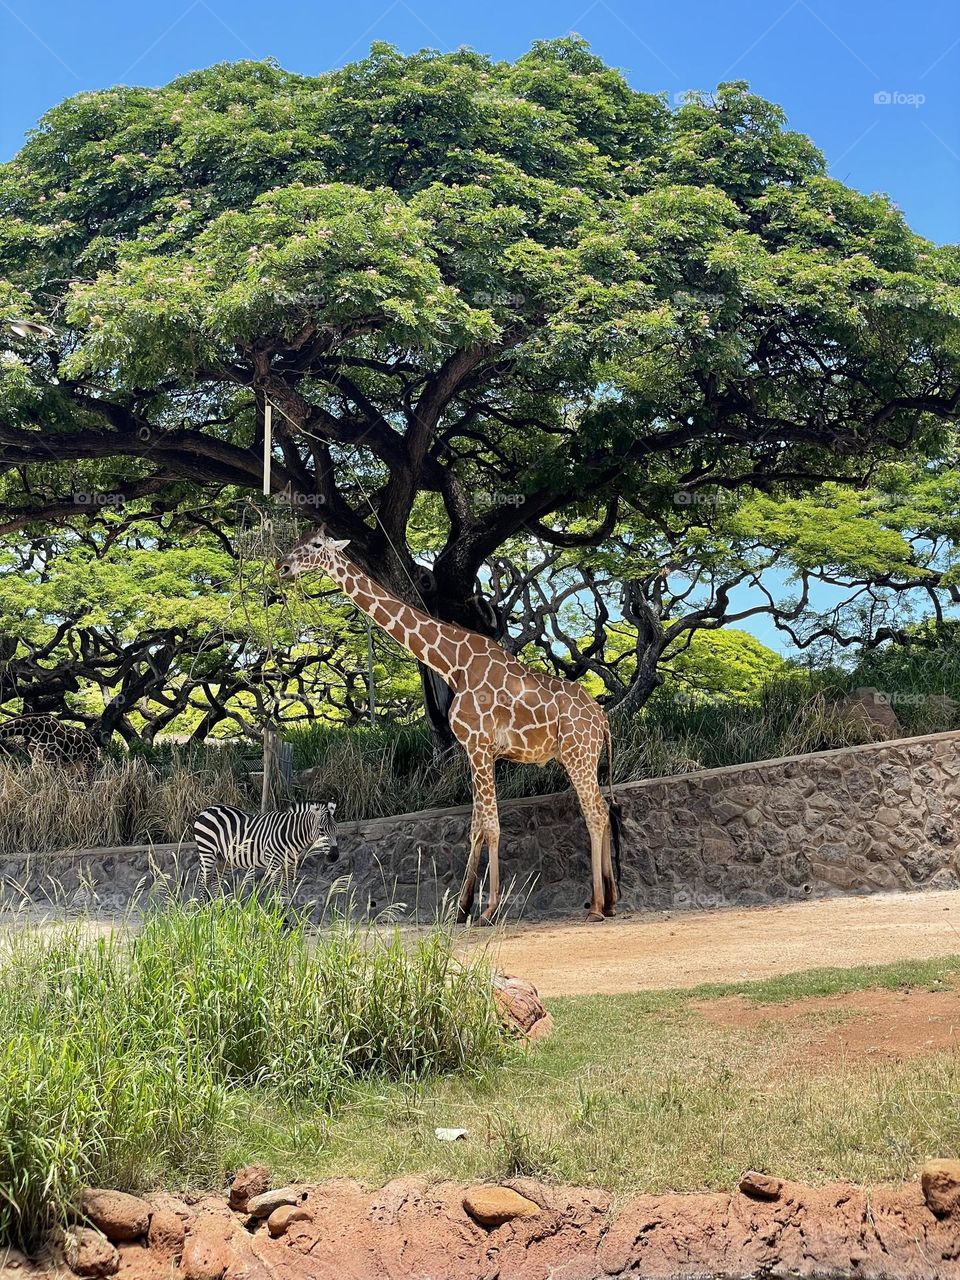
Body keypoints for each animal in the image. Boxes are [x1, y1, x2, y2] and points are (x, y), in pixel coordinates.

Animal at [193, 802, 339, 889]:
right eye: (321, 830)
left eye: (336, 829)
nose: (334, 856)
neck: (290, 836)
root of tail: (207, 809)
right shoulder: (274, 863)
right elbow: (276, 890)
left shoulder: (290, 865)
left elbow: (286, 890)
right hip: (207, 851)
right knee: (202, 882)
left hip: (224, 858)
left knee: (215, 883)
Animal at [278, 531, 621, 924]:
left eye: (316, 546)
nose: (283, 566)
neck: (453, 663)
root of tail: (602, 718)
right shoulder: (475, 750)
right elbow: (475, 827)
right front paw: (462, 908)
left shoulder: (479, 746)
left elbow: (491, 825)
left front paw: (489, 910)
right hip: (580, 757)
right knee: (604, 809)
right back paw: (609, 900)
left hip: (579, 755)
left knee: (595, 812)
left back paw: (597, 906)